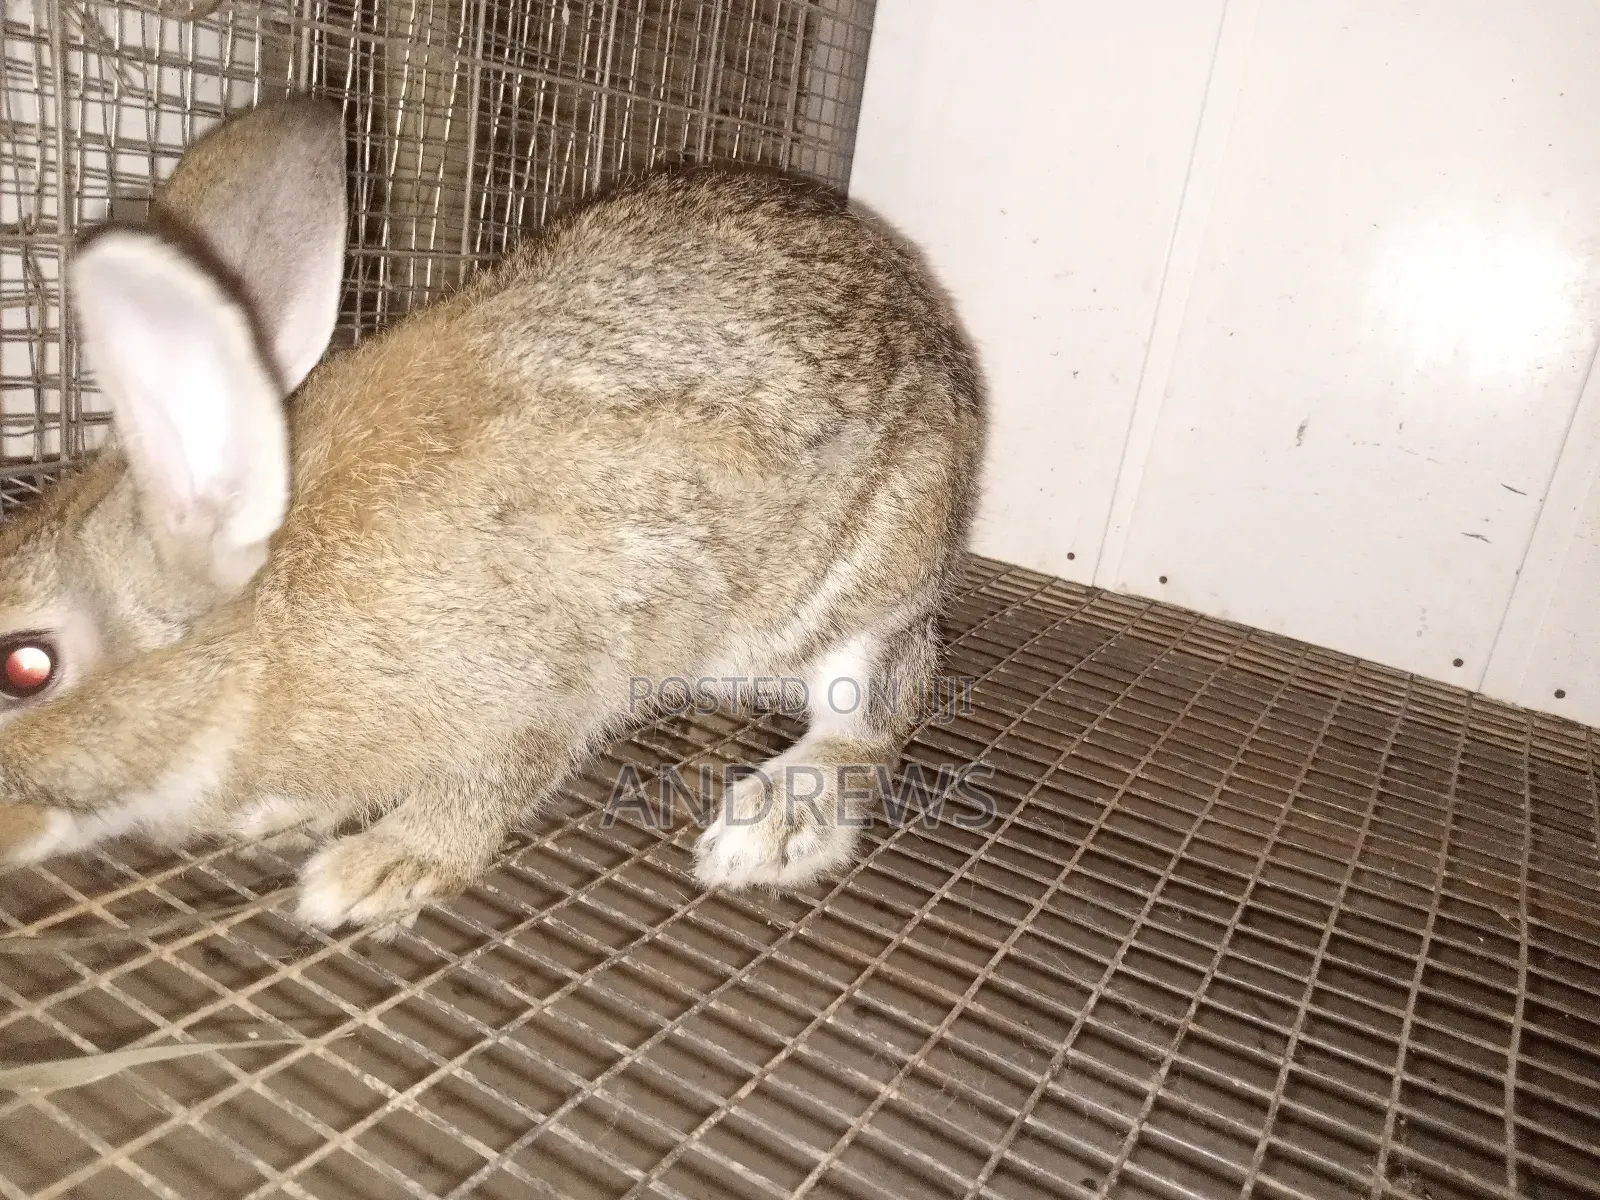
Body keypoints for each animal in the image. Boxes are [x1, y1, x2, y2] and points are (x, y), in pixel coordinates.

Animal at [0, 95, 984, 931]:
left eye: (26, 668)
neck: (262, 633)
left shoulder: (553, 683)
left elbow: (492, 783)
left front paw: (378, 871)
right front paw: (287, 818)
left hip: (851, 584)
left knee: (884, 700)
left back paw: (772, 827)